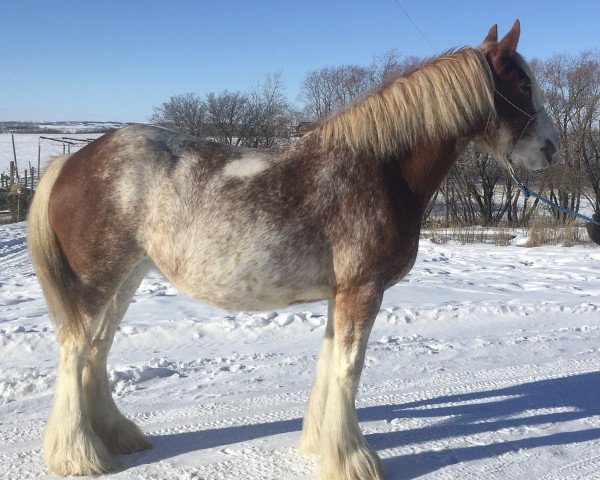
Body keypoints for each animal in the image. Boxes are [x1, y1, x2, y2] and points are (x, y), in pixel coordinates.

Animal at [29, 21, 556, 480]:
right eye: (523, 83)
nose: (552, 149)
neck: (378, 169)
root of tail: (74, 159)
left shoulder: (339, 293)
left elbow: (328, 364)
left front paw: (323, 444)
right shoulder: (362, 290)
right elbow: (348, 369)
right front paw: (353, 461)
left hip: (128, 277)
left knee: (97, 351)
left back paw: (117, 437)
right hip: (99, 281)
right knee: (75, 350)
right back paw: (79, 455)